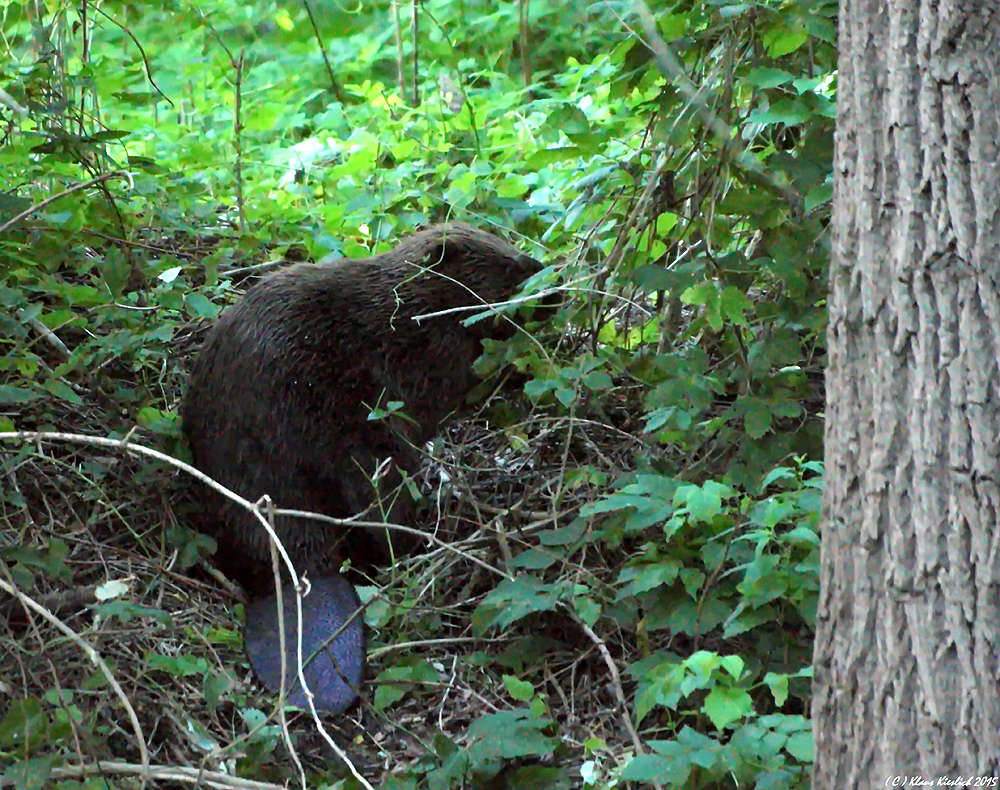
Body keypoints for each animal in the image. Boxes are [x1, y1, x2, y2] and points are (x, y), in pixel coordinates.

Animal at [184, 221, 552, 712]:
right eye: (510, 266)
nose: (545, 278)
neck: (408, 301)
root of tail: (304, 574)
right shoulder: (431, 349)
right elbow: (466, 379)